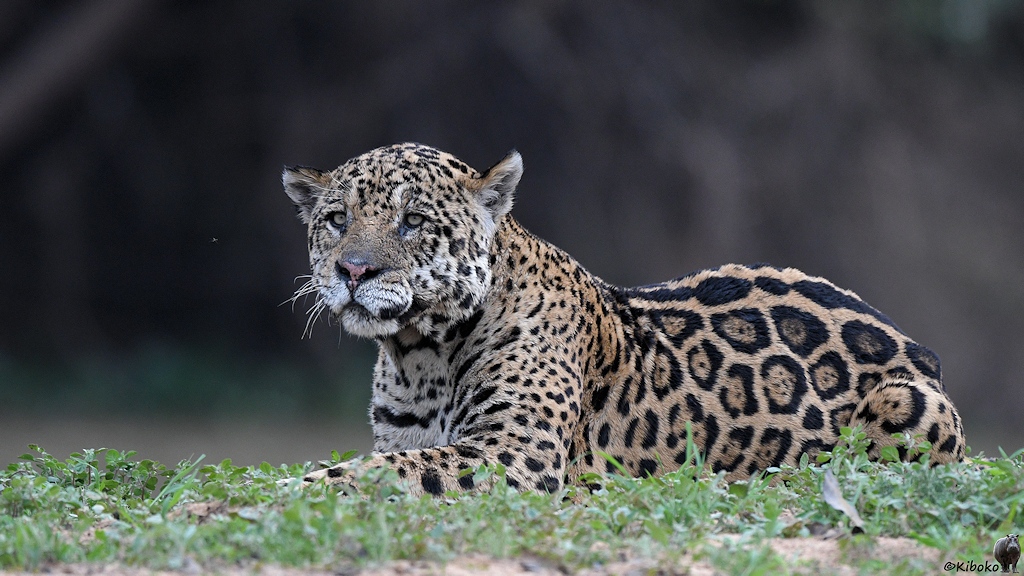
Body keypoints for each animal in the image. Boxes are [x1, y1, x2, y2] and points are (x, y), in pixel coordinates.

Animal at [282, 142, 965, 495]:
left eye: (413, 221)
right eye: (337, 219)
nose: (353, 270)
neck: (418, 354)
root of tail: (922, 350)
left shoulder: (517, 453)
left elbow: (383, 471)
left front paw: (299, 491)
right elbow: (390, 459)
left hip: (908, 403)